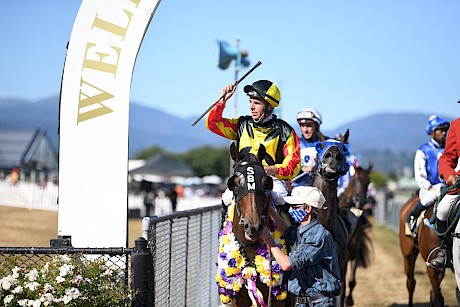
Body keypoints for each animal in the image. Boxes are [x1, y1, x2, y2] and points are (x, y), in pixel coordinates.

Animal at [338, 164, 374, 306]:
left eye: (368, 182)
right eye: (353, 181)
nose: (360, 201)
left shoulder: (354, 253)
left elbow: (351, 281)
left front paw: (349, 300)